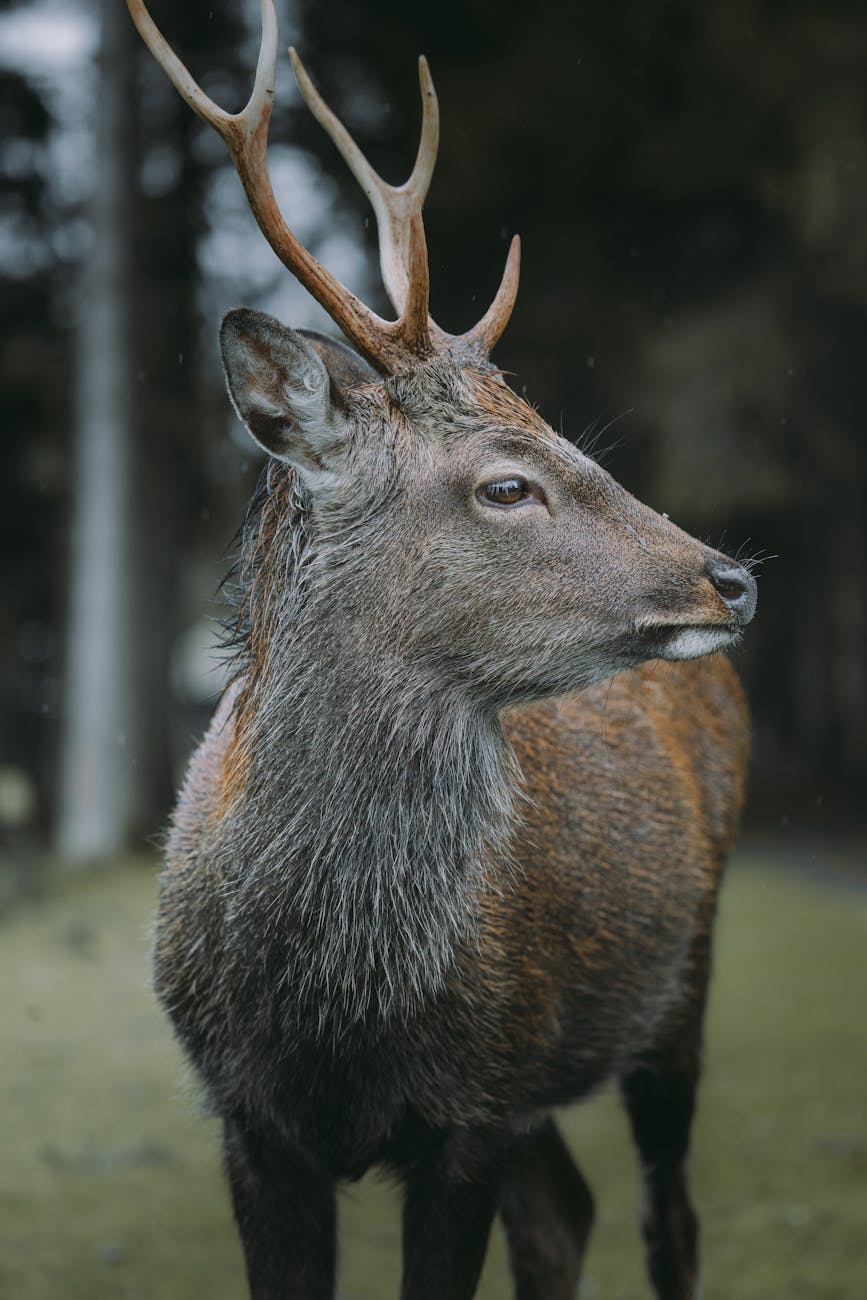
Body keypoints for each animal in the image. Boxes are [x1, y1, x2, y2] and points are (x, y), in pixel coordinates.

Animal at [128, 2, 759, 1300]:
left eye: (567, 435)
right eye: (507, 483)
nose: (729, 575)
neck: (335, 1002)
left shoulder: (473, 1102)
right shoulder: (251, 1120)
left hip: (681, 983)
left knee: (667, 1216)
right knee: (565, 1208)